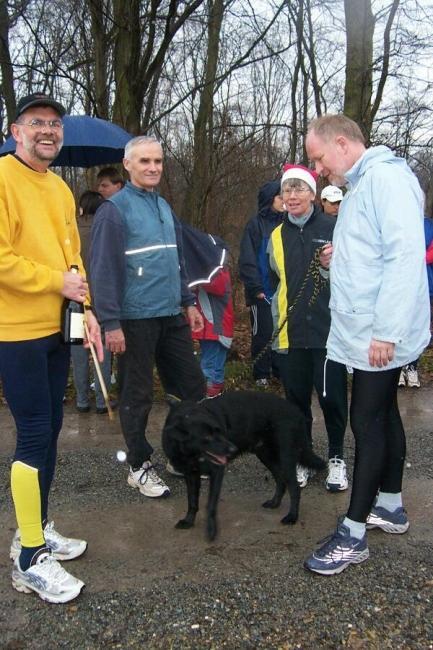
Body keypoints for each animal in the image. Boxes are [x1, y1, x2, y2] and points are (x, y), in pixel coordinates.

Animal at [162, 390, 324, 536]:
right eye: (207, 436)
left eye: (219, 430)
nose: (233, 449)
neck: (192, 453)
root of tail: (296, 411)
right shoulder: (190, 474)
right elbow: (192, 501)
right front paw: (188, 521)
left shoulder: (217, 471)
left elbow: (211, 503)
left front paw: (211, 530)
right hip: (265, 455)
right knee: (280, 479)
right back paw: (275, 503)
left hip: (286, 456)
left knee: (294, 488)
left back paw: (292, 517)